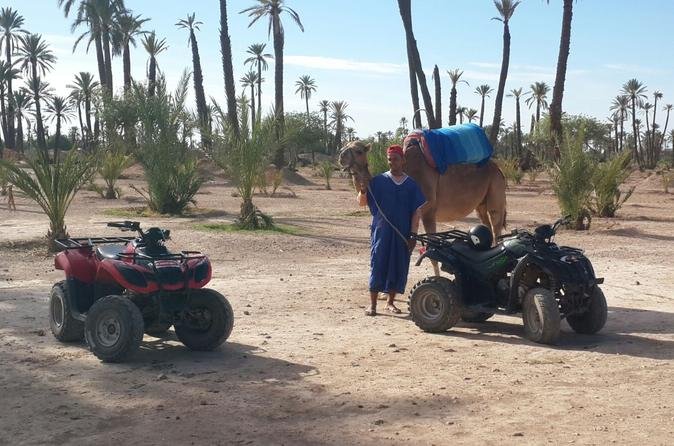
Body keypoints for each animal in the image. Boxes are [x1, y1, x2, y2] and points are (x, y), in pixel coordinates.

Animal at [338, 139, 506, 246]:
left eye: (359, 151)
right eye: (344, 146)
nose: (341, 156)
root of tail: (499, 169)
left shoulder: (428, 211)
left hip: (495, 188)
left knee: (496, 224)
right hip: (481, 203)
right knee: (486, 223)